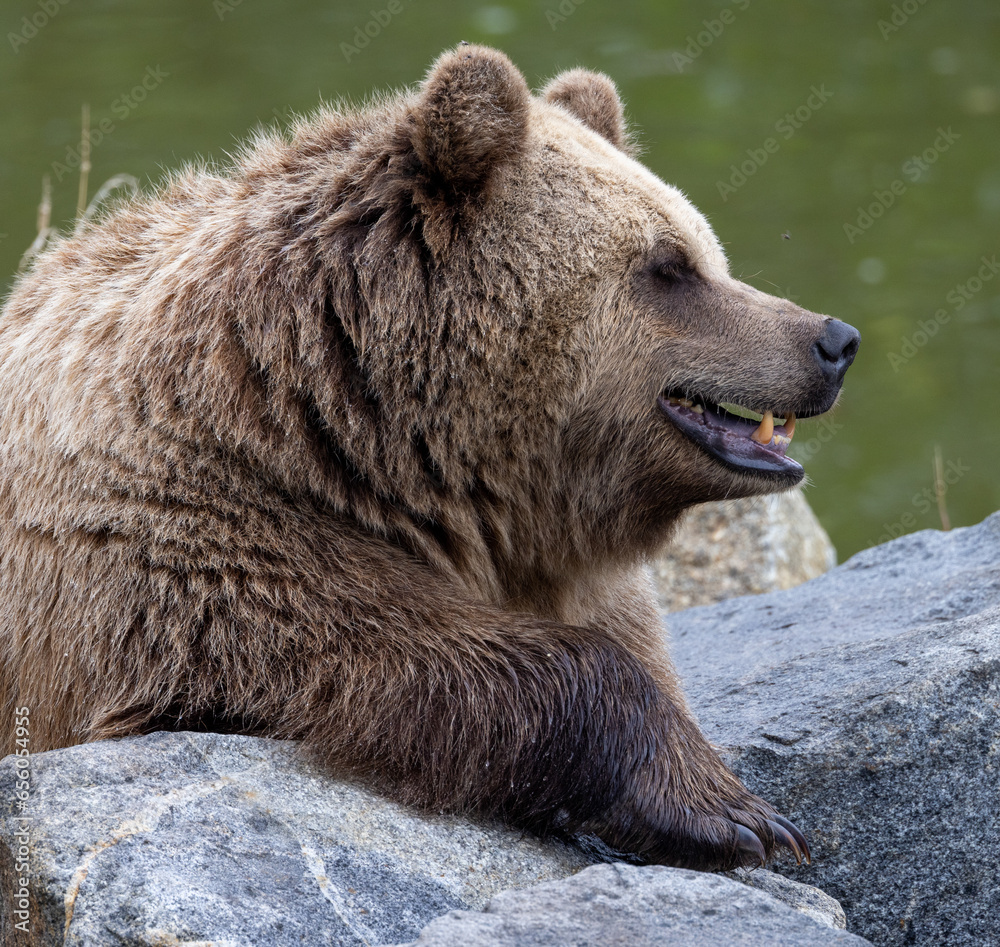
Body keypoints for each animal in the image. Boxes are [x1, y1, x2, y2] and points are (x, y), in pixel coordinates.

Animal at [0, 44, 858, 871]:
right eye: (669, 265)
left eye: (706, 251)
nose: (832, 339)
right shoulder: (179, 553)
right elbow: (399, 653)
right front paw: (731, 810)